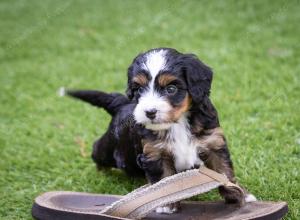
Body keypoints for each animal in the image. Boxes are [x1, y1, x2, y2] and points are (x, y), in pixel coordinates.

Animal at [65, 47, 255, 213]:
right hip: (111, 148)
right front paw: (166, 206)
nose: (149, 112)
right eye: (139, 89)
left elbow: (224, 171)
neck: (178, 123)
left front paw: (240, 195)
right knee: (98, 149)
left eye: (171, 88)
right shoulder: (155, 153)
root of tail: (122, 104)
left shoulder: (213, 143)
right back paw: (101, 171)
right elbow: (164, 180)